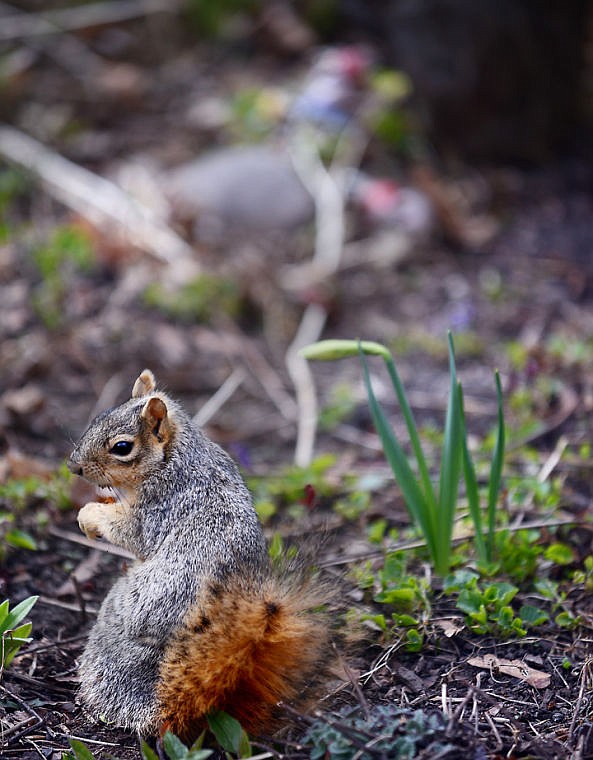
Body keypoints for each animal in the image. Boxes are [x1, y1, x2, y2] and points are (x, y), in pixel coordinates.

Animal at [69, 368, 332, 744]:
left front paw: (90, 515)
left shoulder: (161, 506)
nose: (73, 467)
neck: (175, 457)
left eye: (122, 447)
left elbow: (132, 533)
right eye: (97, 418)